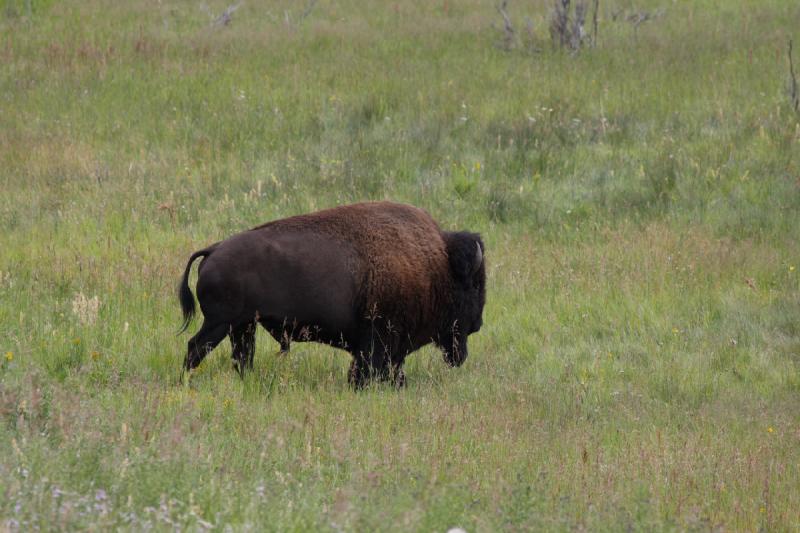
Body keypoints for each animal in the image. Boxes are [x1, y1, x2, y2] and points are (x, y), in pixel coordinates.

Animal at [177, 201, 484, 386]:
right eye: (474, 285)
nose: (478, 324)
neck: (438, 264)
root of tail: (214, 249)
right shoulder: (378, 339)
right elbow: (369, 368)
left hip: (242, 327)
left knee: (241, 357)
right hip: (219, 324)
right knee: (195, 347)